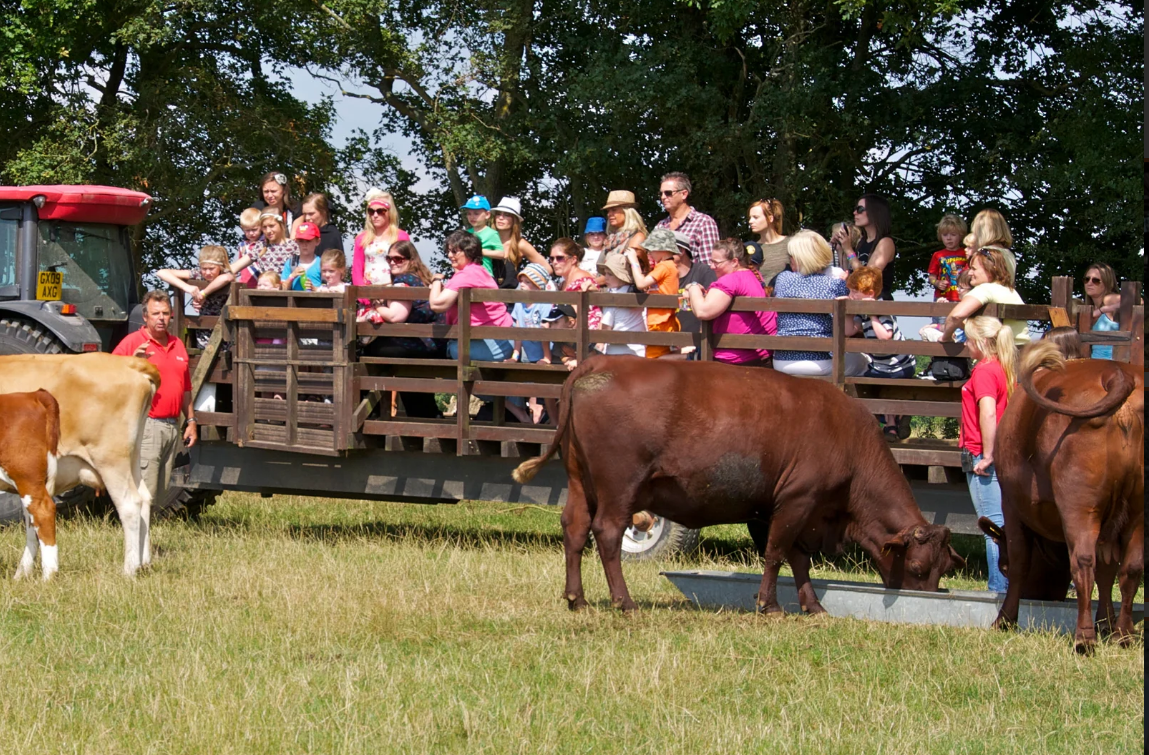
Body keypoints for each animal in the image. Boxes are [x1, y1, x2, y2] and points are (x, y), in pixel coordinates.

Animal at [513, 356, 965, 614]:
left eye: (943, 569)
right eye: (918, 567)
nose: (926, 599)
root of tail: (599, 363)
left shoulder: (785, 509)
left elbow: (798, 558)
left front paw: (811, 606)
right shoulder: (798, 500)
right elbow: (777, 554)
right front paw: (769, 604)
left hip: (580, 480)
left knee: (574, 529)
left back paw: (576, 598)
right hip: (620, 485)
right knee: (606, 533)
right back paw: (623, 602)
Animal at [992, 341, 1143, 653]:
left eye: (1002, 565)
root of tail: (1116, 372)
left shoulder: (1010, 505)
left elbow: (1021, 560)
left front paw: (1006, 620)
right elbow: (1108, 572)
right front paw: (1106, 623)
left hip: (1079, 506)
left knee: (1083, 562)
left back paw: (1084, 639)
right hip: (1139, 510)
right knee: (1131, 568)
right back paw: (1123, 634)